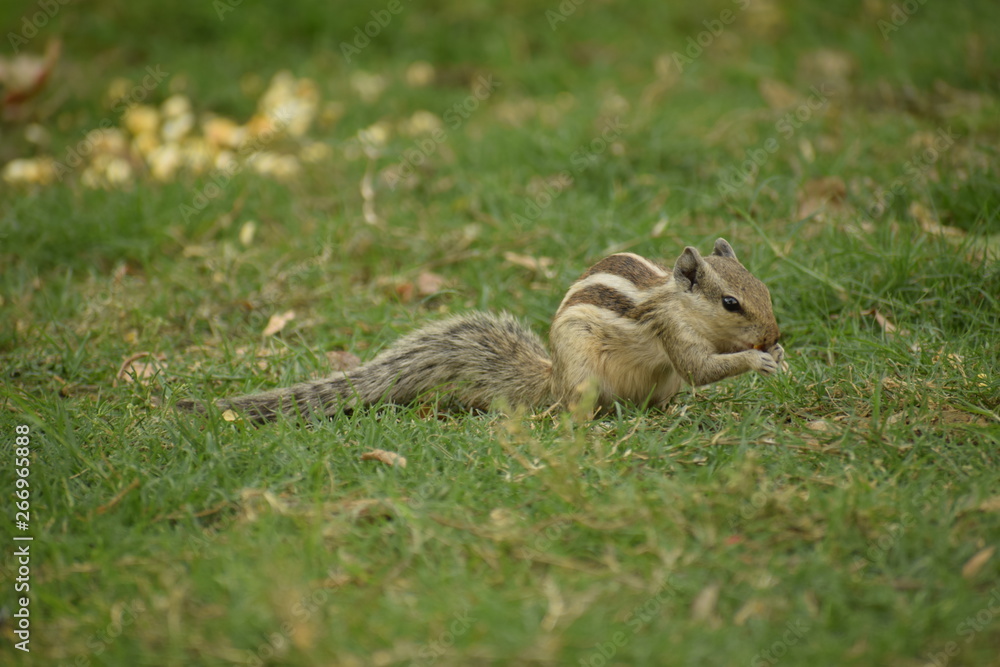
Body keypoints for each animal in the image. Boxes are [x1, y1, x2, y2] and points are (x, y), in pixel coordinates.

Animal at [177, 238, 784, 422]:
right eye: (731, 302)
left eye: (764, 289)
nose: (774, 336)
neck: (678, 303)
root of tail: (552, 377)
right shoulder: (673, 334)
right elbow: (701, 368)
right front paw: (758, 360)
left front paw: (779, 356)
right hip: (583, 376)